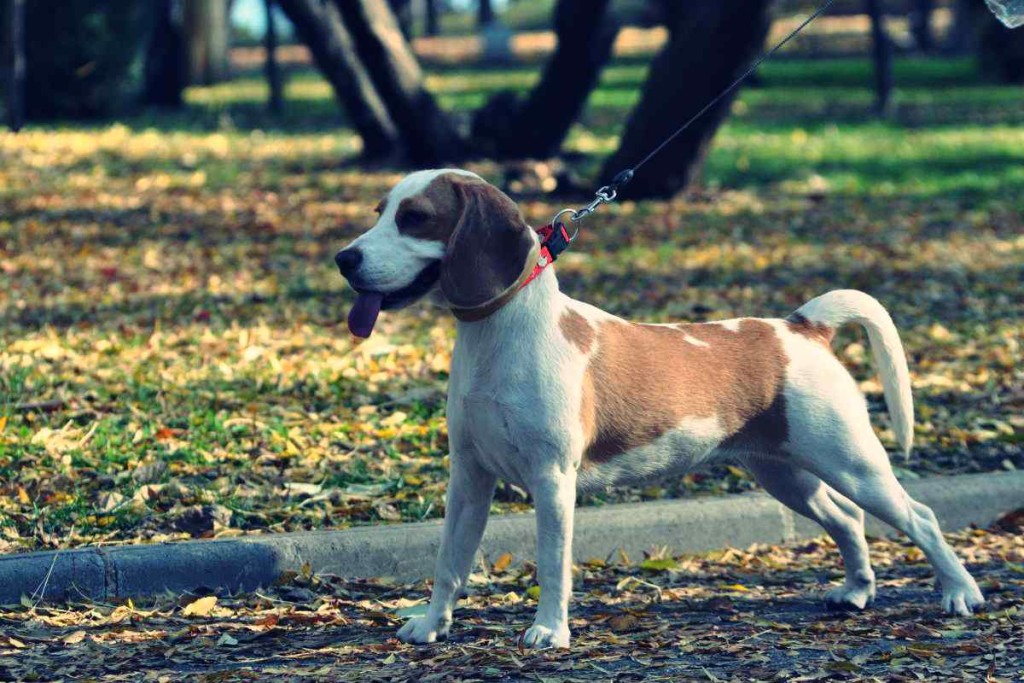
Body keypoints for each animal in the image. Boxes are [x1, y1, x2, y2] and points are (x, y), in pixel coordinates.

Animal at [333, 167, 983, 651]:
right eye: (380, 212)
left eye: (415, 218)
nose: (344, 259)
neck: (500, 331)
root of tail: (801, 327)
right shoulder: (469, 476)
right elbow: (449, 561)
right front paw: (431, 625)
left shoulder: (552, 481)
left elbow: (552, 564)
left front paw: (549, 631)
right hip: (787, 473)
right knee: (847, 519)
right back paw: (856, 592)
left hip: (853, 463)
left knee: (920, 517)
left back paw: (959, 594)